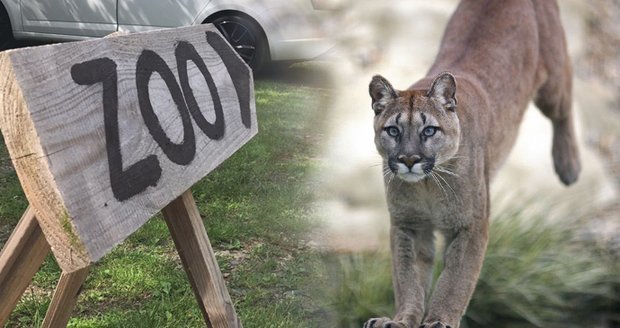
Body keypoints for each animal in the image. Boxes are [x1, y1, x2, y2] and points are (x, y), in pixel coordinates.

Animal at [364, 0, 580, 328]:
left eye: (429, 130)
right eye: (393, 130)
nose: (409, 159)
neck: (428, 185)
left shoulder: (470, 225)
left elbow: (455, 280)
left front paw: (439, 320)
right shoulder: (409, 225)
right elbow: (408, 280)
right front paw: (400, 320)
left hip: (552, 80)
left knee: (566, 99)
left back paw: (569, 164)